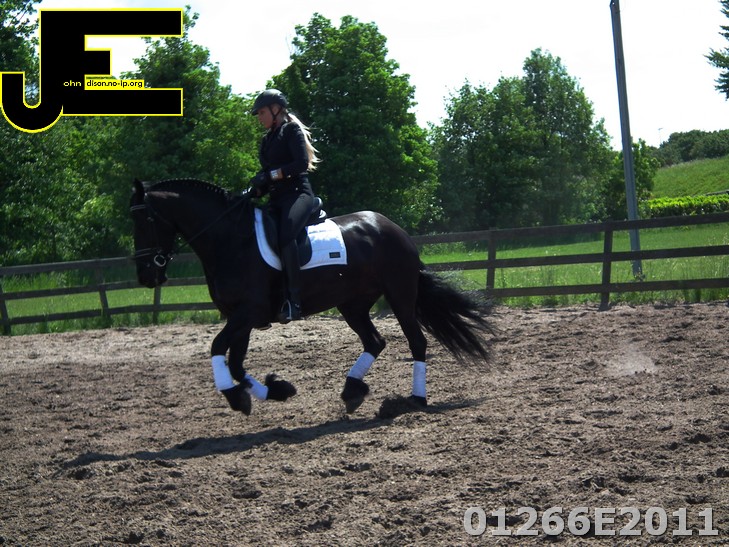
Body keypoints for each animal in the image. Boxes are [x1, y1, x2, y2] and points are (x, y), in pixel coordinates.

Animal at [129, 178, 494, 416]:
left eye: (144, 220)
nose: (146, 276)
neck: (231, 240)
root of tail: (393, 229)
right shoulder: (241, 316)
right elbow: (235, 362)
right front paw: (276, 391)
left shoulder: (248, 312)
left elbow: (218, 348)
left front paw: (235, 397)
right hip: (352, 305)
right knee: (374, 342)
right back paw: (352, 390)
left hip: (400, 295)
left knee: (416, 342)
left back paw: (414, 400)